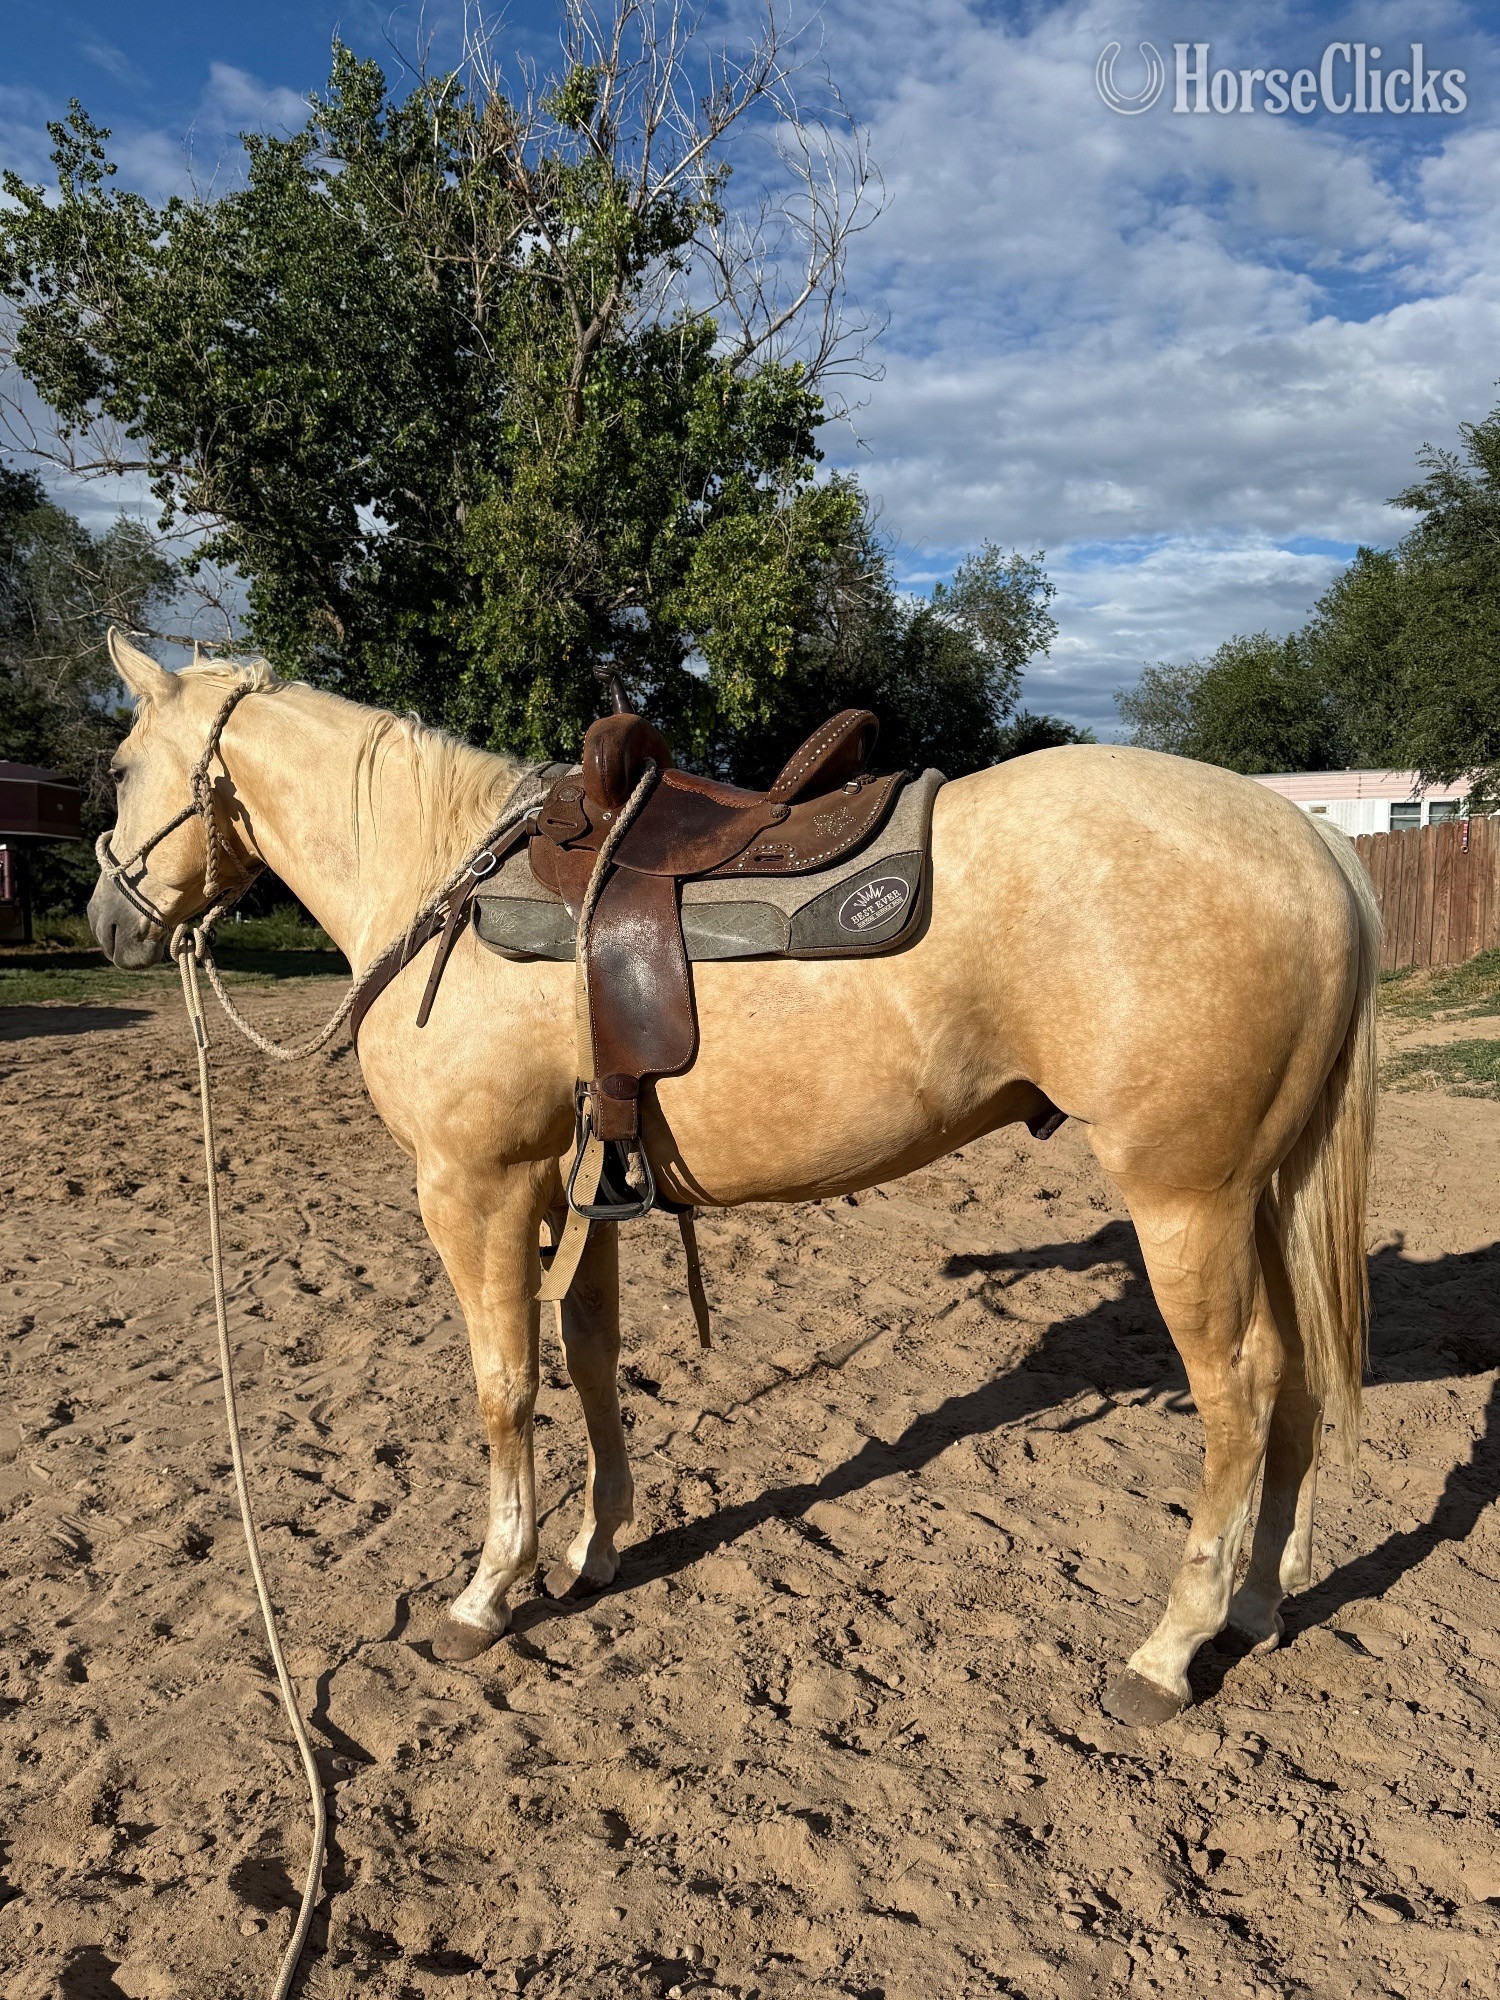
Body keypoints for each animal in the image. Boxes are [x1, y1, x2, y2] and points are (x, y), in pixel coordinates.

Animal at [88, 633, 1378, 1729]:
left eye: (116, 765)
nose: (108, 920)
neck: (437, 886)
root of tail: (1307, 838)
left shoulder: (475, 1188)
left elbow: (505, 1386)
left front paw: (488, 1590)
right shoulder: (579, 1188)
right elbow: (591, 1358)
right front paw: (593, 1549)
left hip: (1187, 1200)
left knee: (1241, 1389)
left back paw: (1169, 1650)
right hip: (1262, 1192)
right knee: (1301, 1373)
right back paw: (1256, 1607)